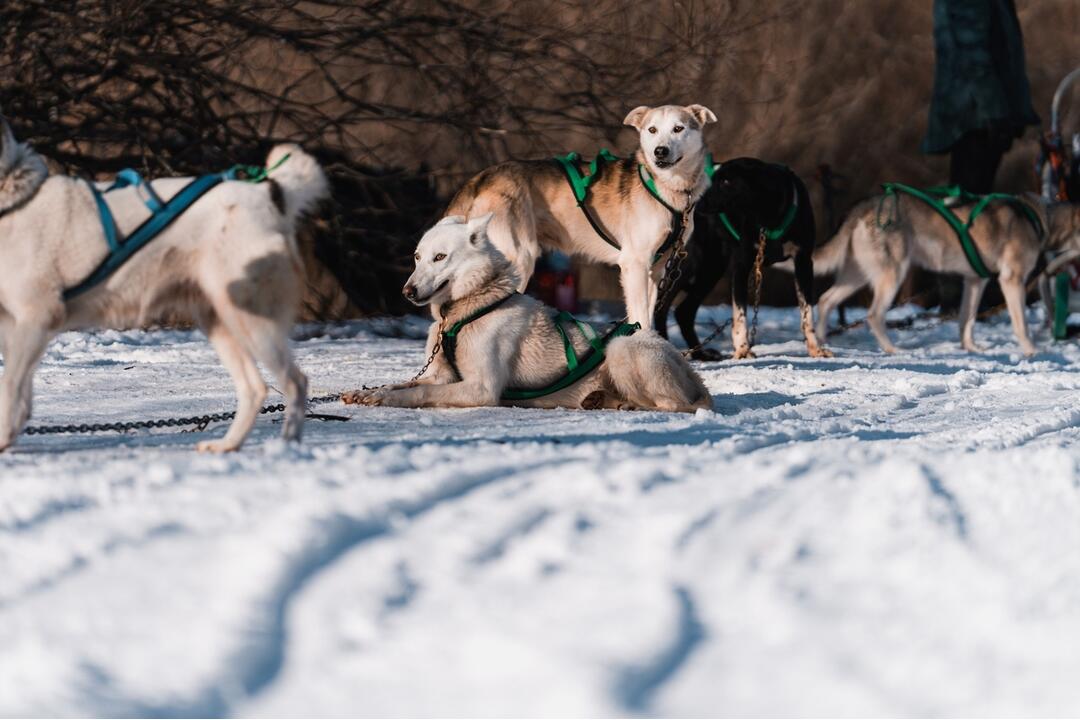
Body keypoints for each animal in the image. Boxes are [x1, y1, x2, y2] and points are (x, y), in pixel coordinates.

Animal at [0, 113, 326, 451]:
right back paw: (227, 447)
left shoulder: (37, 317)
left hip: (249, 317)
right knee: (255, 388)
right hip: (219, 321)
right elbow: (18, 395)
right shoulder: (14, 326)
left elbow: (9, 387)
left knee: (295, 382)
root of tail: (268, 194)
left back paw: (285, 447)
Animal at [341, 213, 712, 414]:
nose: (407, 291)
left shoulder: (479, 388)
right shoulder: (441, 375)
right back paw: (601, 399)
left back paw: (628, 404)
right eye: (417, 257)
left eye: (440, 257)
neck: (468, 308)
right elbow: (402, 384)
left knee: (671, 405)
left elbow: (418, 393)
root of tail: (689, 368)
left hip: (622, 349)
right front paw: (370, 393)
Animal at [442, 102, 712, 328]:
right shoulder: (635, 263)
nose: (660, 151)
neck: (665, 187)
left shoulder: (655, 270)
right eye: (652, 130)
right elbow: (641, 319)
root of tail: (481, 178)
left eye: (678, 128)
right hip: (520, 257)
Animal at [652, 157, 829, 360]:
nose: (694, 200)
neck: (768, 217)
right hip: (690, 263)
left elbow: (807, 312)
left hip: (711, 267)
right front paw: (743, 349)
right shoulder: (741, 265)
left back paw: (701, 353)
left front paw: (815, 349)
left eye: (725, 181)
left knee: (684, 311)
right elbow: (740, 313)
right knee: (662, 305)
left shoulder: (803, 262)